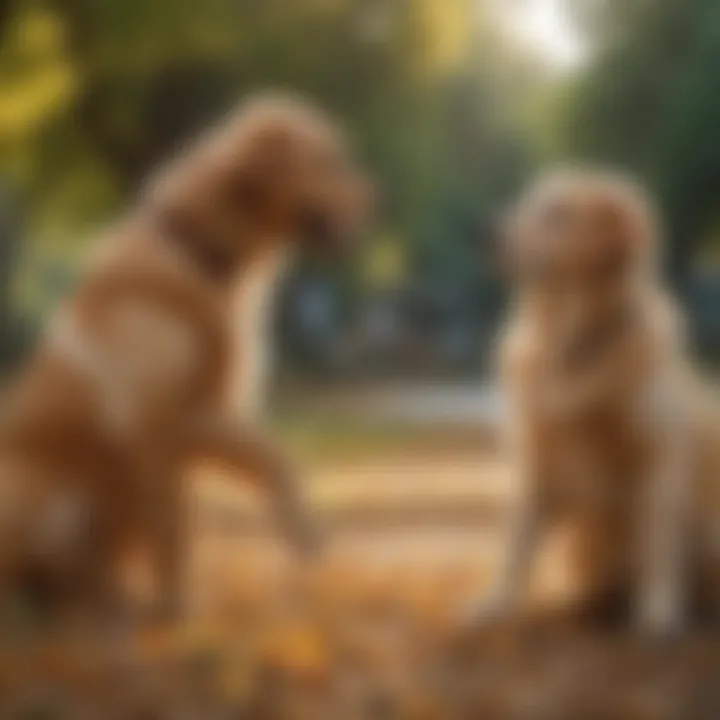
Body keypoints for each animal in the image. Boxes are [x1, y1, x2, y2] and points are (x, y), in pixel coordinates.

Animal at [0, 94, 372, 624]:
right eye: (327, 160)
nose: (374, 201)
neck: (200, 255)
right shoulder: (154, 426)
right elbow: (172, 530)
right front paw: (177, 613)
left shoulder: (205, 414)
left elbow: (274, 460)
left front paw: (308, 540)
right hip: (29, 489)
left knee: (78, 579)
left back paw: (104, 599)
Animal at [470, 169, 720, 636]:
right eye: (528, 203)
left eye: (559, 214)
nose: (487, 232)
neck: (572, 345)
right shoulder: (539, 462)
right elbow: (516, 543)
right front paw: (495, 605)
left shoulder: (657, 458)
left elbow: (657, 541)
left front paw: (658, 612)